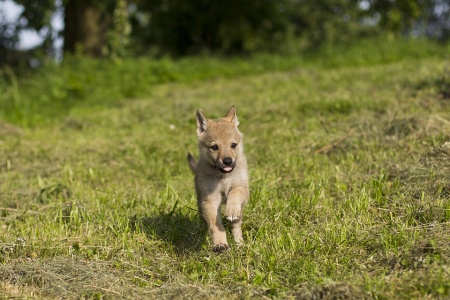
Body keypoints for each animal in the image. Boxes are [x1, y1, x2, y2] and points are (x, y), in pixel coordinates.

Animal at [187, 106, 250, 253]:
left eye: (233, 145)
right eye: (214, 147)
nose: (227, 161)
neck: (223, 177)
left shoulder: (241, 187)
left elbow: (235, 192)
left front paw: (231, 209)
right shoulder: (210, 200)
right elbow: (216, 226)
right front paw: (220, 244)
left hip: (240, 213)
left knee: (236, 226)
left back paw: (240, 244)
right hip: (201, 205)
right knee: (205, 224)